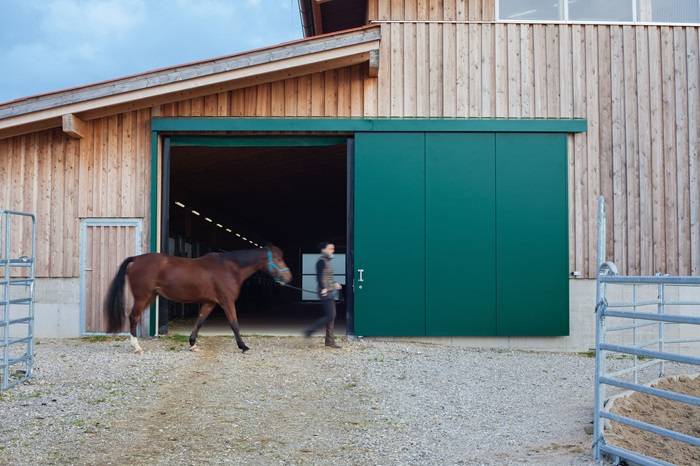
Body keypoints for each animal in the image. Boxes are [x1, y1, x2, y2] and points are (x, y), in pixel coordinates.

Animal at [102, 246, 292, 352]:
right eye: (278, 259)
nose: (288, 277)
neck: (229, 268)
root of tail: (136, 259)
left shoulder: (210, 302)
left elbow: (200, 321)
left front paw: (192, 344)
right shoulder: (226, 301)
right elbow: (234, 323)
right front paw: (243, 346)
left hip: (150, 296)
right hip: (143, 296)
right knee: (133, 317)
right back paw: (137, 347)